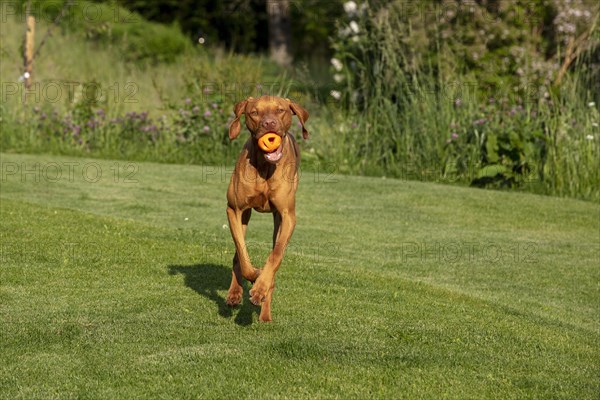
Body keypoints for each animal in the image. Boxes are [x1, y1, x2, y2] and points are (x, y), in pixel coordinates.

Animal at [225, 94, 310, 322]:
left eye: (280, 110)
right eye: (254, 112)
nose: (269, 124)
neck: (265, 166)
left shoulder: (287, 216)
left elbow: (276, 255)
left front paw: (261, 288)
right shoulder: (234, 209)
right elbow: (242, 252)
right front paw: (254, 274)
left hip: (277, 221)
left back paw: (265, 311)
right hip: (244, 216)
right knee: (237, 254)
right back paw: (235, 293)